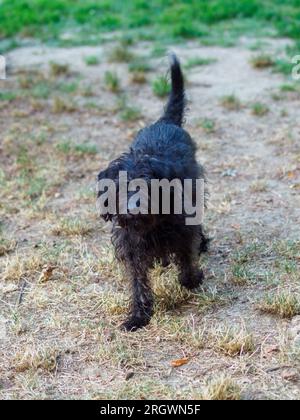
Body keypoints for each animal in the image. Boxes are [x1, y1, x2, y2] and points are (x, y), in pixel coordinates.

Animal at [97, 55, 207, 332]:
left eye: (148, 185)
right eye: (120, 186)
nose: (133, 208)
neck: (150, 225)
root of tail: (165, 122)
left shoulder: (183, 230)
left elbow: (186, 258)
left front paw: (193, 278)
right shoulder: (131, 248)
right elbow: (138, 282)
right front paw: (138, 315)